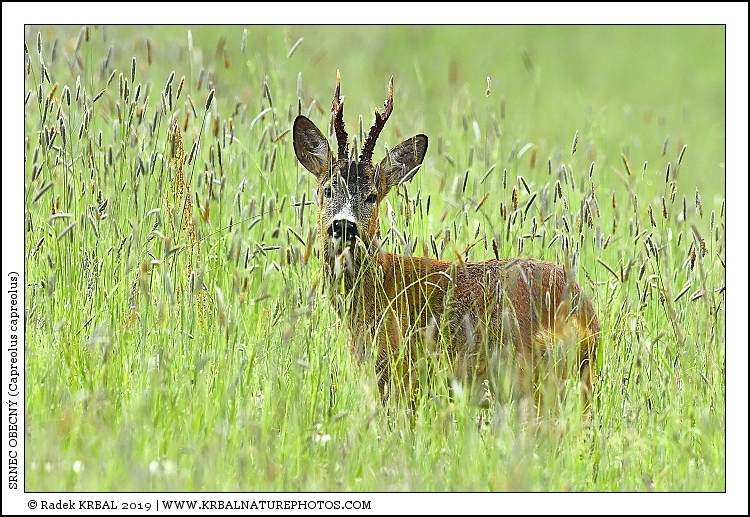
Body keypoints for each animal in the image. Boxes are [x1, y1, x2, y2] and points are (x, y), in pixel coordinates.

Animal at [292, 71, 600, 413]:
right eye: (328, 189)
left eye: (372, 196)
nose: (344, 225)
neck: (377, 290)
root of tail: (580, 308)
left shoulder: (400, 373)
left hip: (529, 375)